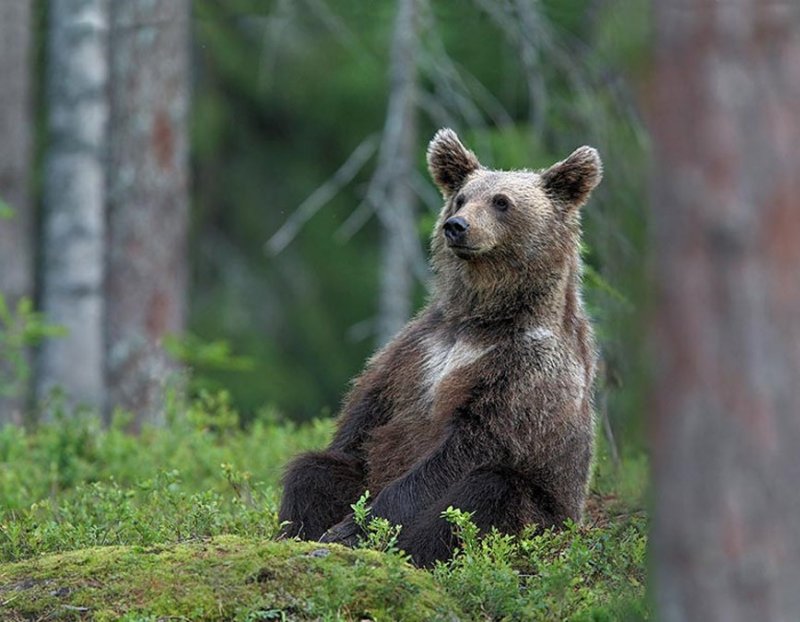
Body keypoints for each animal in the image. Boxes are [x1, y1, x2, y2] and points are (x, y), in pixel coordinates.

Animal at [278, 129, 596, 568]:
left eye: (501, 201)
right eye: (461, 197)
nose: (456, 226)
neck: (482, 319)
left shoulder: (527, 371)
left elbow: (467, 447)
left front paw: (358, 526)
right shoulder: (419, 348)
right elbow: (365, 417)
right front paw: (339, 523)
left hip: (543, 522)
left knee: (489, 492)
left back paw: (413, 553)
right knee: (313, 470)